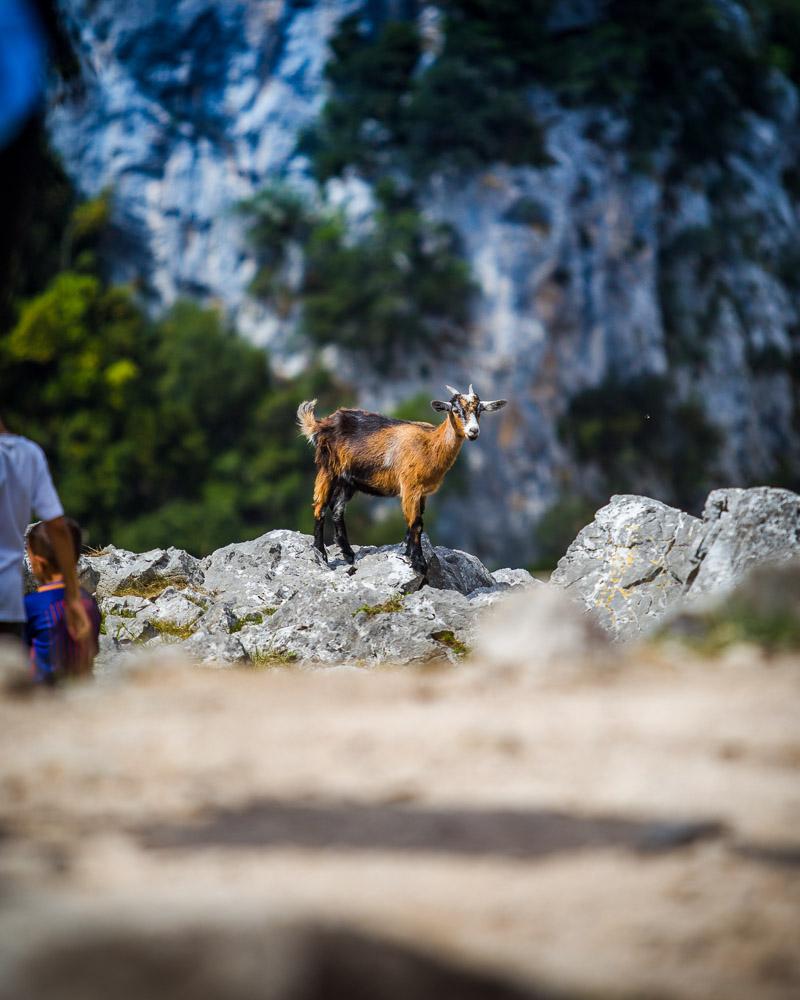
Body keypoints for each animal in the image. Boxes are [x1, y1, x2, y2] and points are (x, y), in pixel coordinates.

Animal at [296, 384, 510, 572]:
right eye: (456, 410)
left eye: (480, 410)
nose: (474, 431)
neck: (430, 445)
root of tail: (321, 423)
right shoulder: (410, 486)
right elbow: (415, 523)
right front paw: (419, 563)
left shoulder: (422, 492)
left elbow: (416, 522)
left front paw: (407, 553)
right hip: (328, 468)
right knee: (320, 505)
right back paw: (321, 553)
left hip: (348, 480)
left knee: (337, 509)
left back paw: (348, 554)